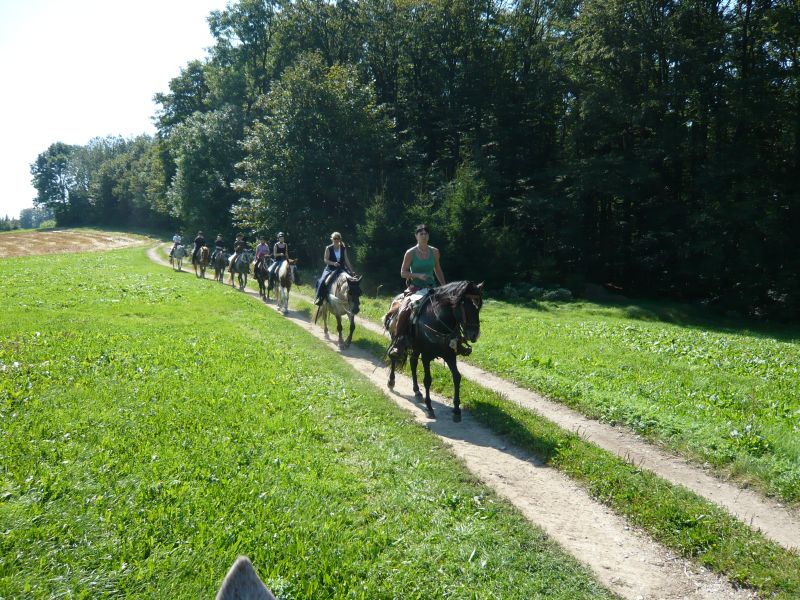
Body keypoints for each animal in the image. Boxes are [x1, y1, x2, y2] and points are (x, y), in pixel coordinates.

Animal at [386, 282, 484, 420]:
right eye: (464, 305)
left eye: (479, 306)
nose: (474, 334)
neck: (438, 323)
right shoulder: (426, 356)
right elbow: (427, 380)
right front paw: (429, 408)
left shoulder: (450, 355)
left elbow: (457, 377)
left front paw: (456, 410)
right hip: (396, 339)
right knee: (394, 357)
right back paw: (391, 381)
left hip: (416, 348)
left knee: (413, 363)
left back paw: (417, 391)